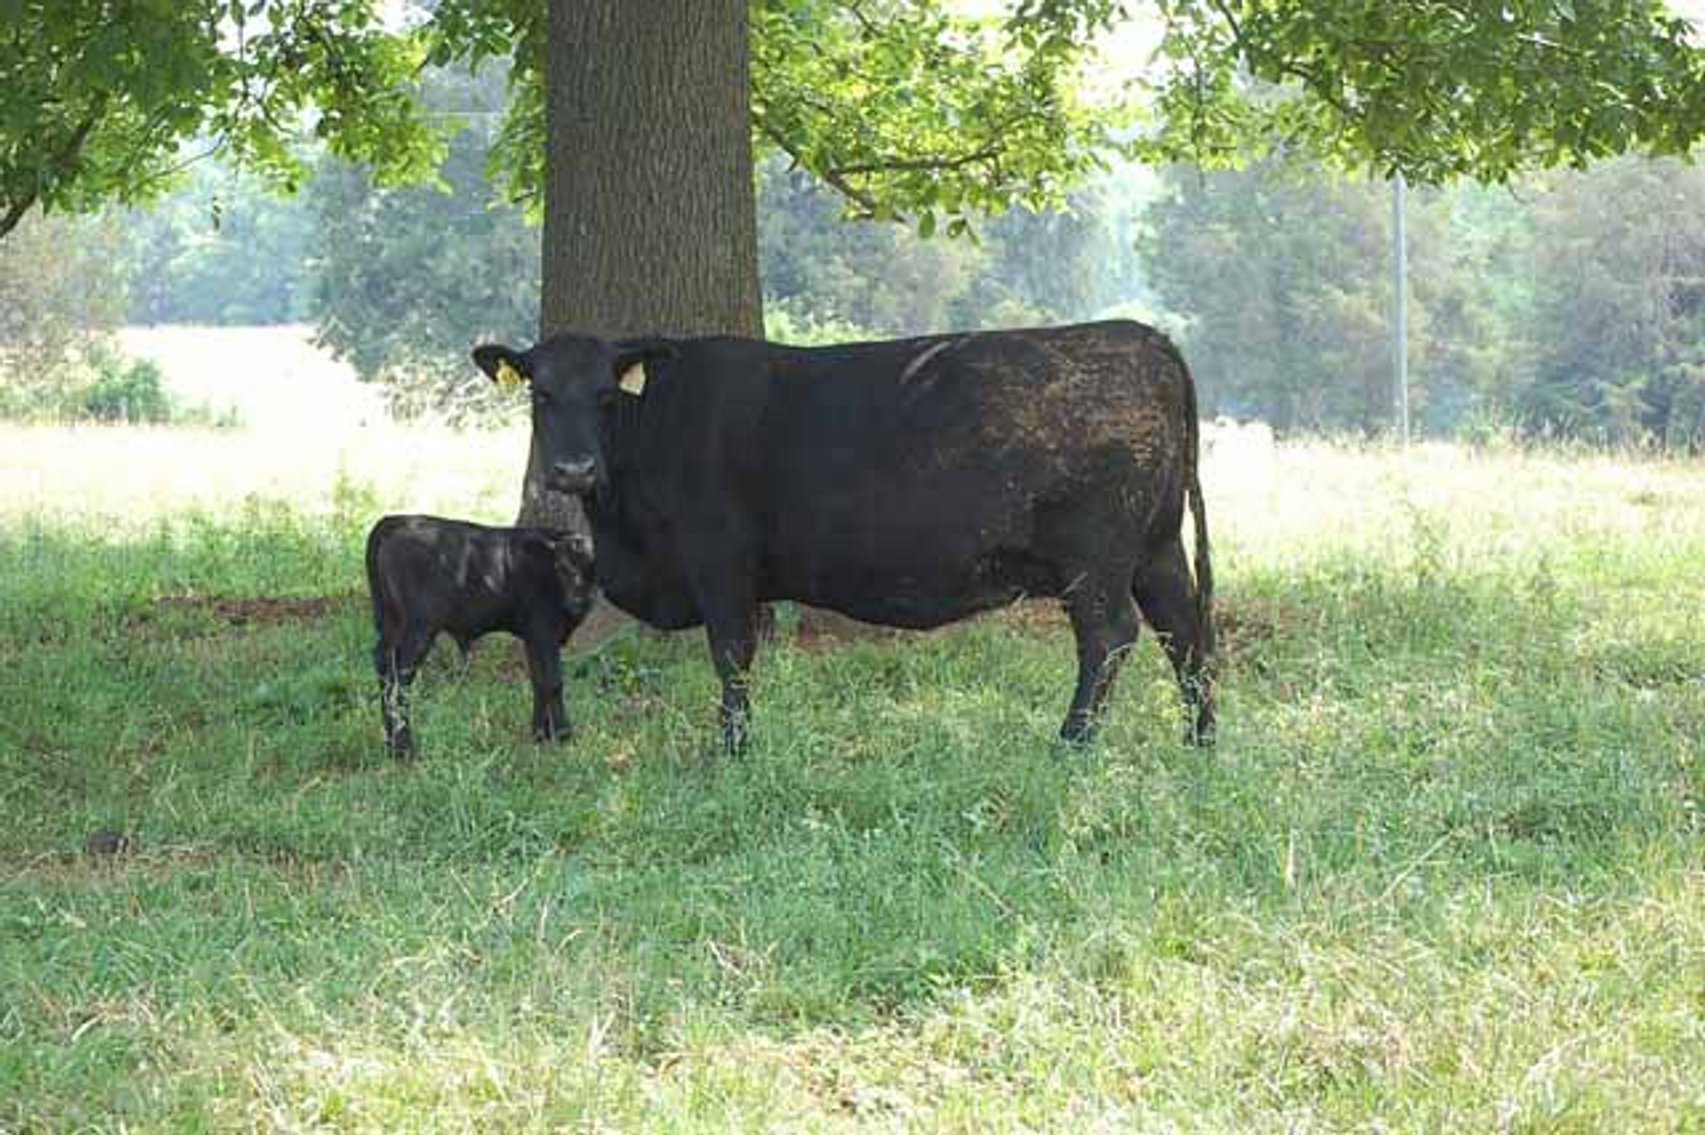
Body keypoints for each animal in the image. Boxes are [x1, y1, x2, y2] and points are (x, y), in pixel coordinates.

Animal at [365, 515, 596, 759]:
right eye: (562, 568)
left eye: (592, 569)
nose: (575, 603)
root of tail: (400, 520)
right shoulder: (544, 631)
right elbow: (553, 682)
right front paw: (563, 735)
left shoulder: (533, 637)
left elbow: (538, 681)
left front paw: (540, 734)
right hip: (419, 628)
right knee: (400, 677)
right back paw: (404, 749)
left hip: (391, 622)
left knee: (383, 665)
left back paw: (390, 743)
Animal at [471, 320, 1215, 755]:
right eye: (539, 393)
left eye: (604, 394)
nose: (573, 469)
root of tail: (1142, 336)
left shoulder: (719, 558)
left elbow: (731, 653)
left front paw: (732, 748)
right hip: (1155, 546)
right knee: (1184, 631)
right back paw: (1201, 740)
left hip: (1095, 554)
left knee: (1110, 635)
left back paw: (1071, 744)